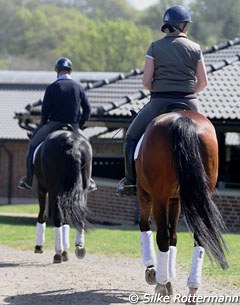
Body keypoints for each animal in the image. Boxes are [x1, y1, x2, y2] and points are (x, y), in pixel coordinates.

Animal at [32, 127, 91, 262]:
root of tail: (72, 142)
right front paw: (66, 251)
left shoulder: (42, 189)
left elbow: (42, 214)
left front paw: (39, 246)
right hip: (83, 189)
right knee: (78, 215)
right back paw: (79, 247)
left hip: (53, 189)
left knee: (57, 217)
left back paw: (58, 253)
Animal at [135, 110, 229, 300]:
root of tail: (183, 118)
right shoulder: (175, 199)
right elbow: (174, 236)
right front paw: (169, 277)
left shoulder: (146, 194)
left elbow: (146, 226)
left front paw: (153, 271)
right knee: (199, 236)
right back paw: (192, 287)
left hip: (158, 196)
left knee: (161, 235)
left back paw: (161, 284)